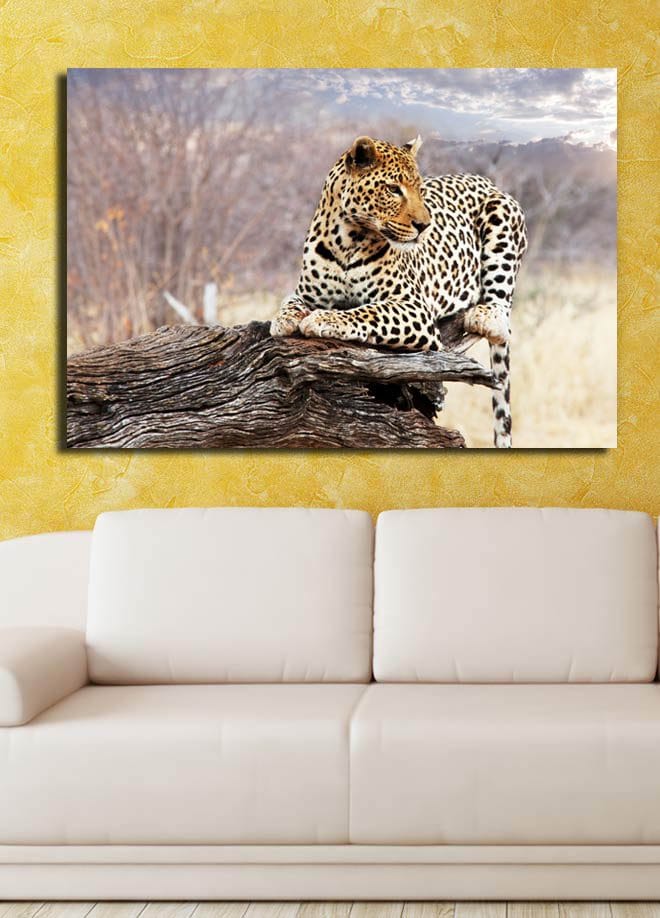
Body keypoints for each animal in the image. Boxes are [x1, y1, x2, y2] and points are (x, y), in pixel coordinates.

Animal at [270, 135, 528, 447]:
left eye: (420, 190)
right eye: (393, 189)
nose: (424, 225)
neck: (347, 239)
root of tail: (484, 180)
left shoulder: (413, 307)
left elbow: (367, 312)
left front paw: (324, 319)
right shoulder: (306, 293)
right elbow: (290, 302)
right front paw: (283, 320)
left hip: (502, 213)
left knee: (502, 315)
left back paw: (485, 315)